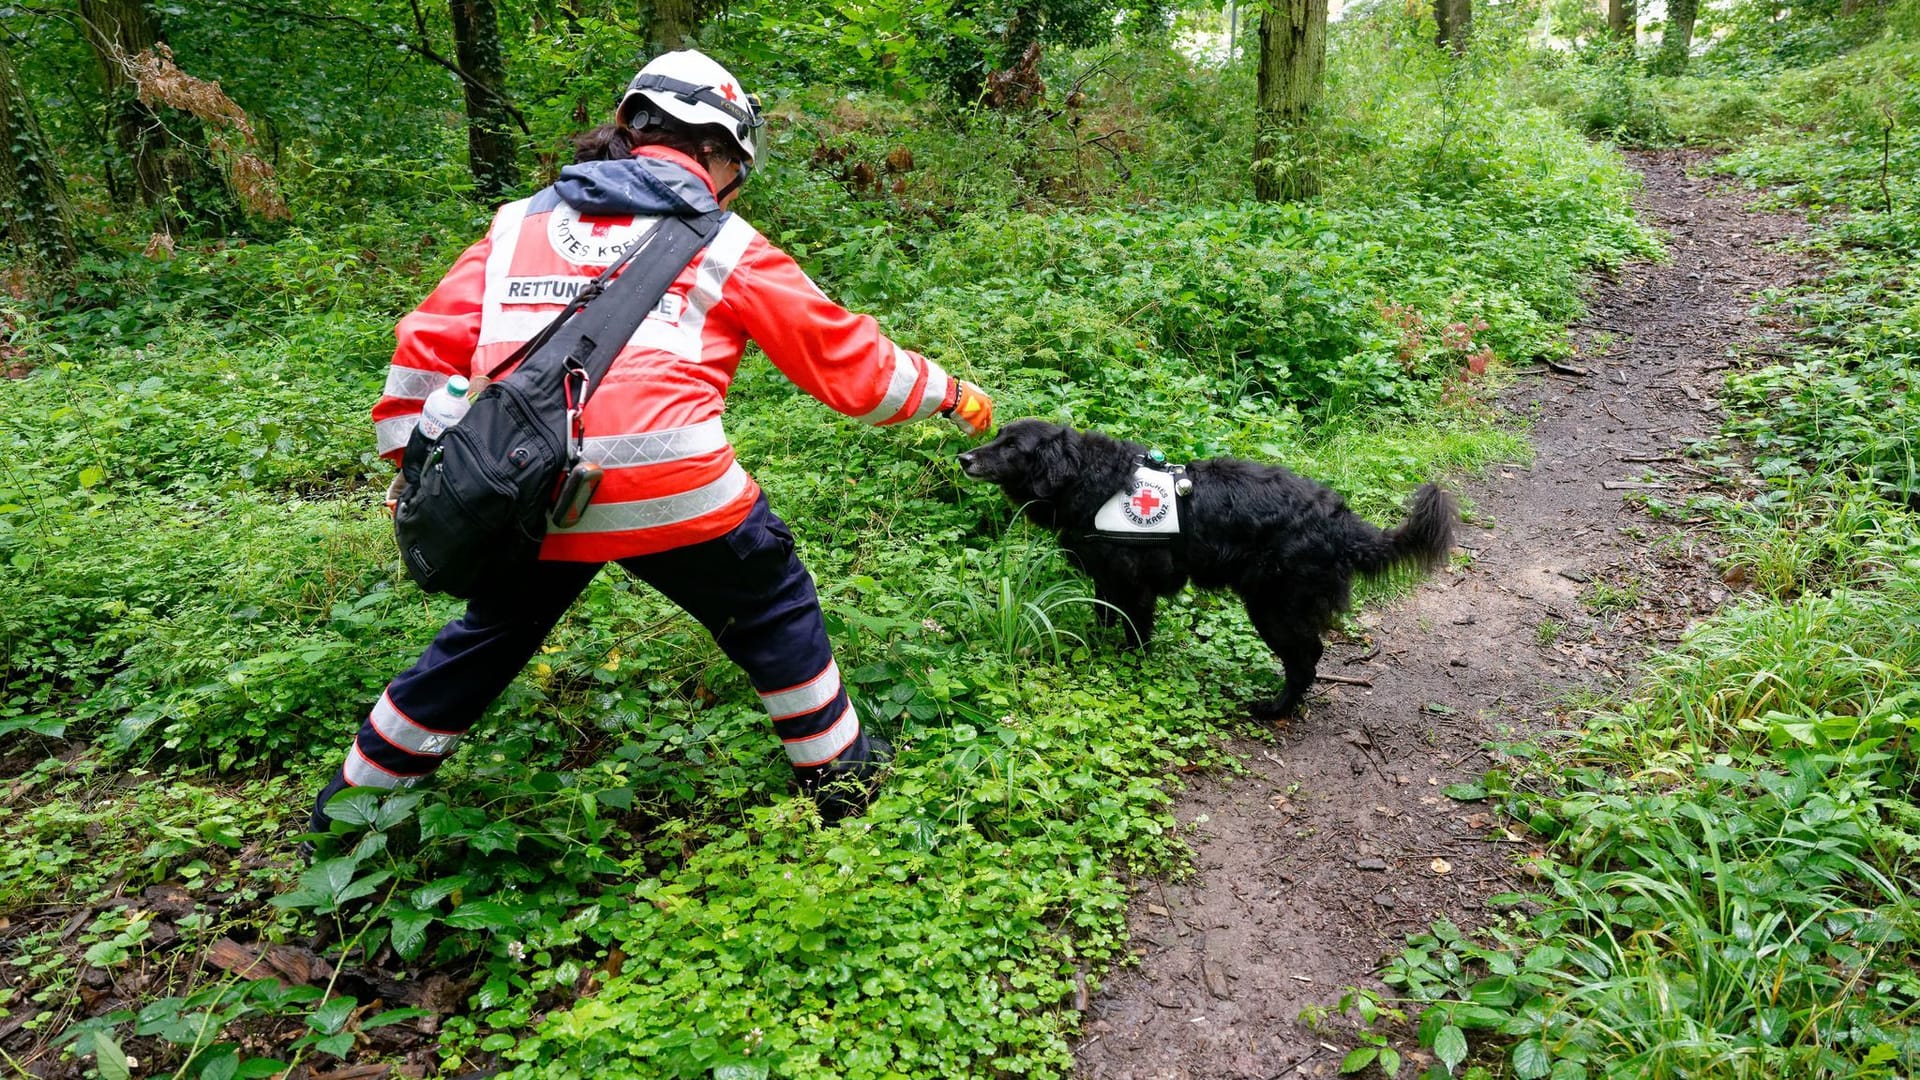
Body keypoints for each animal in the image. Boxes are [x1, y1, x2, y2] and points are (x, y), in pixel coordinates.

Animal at [960, 418, 1451, 714]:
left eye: (1011, 447)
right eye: (997, 435)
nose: (964, 459)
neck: (1089, 480)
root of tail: (1343, 522)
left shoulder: (1136, 587)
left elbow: (1135, 636)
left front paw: (1129, 668)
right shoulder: (1106, 579)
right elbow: (1103, 617)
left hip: (1273, 607)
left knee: (1307, 658)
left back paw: (1275, 708)